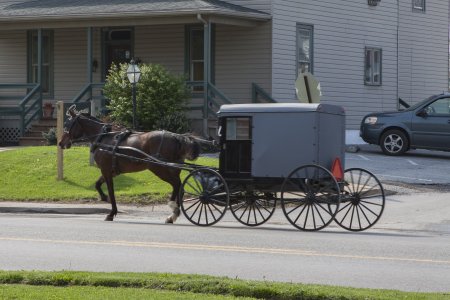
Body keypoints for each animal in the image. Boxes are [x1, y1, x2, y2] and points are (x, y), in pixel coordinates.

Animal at [58, 106, 200, 223]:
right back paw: (174, 213)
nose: (60, 143)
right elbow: (98, 184)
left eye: (68, 124)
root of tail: (176, 137)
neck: (103, 138)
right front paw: (104, 198)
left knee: (176, 184)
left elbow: (111, 192)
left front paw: (111, 212)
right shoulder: (111, 171)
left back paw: (173, 212)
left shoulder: (106, 170)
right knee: (179, 185)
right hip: (172, 169)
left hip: (159, 168)